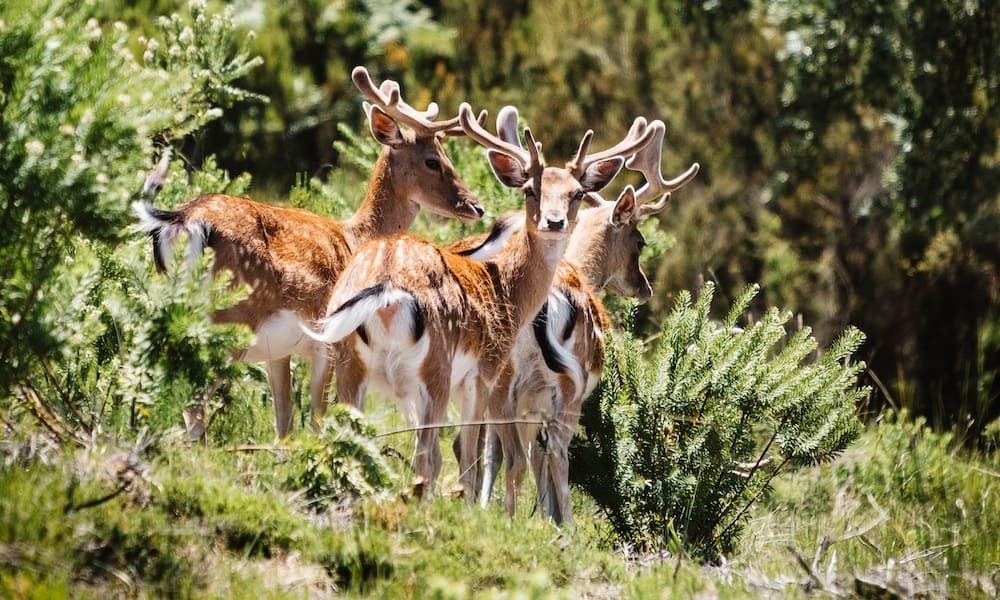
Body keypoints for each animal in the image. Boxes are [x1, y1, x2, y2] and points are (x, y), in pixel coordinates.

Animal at [134, 68, 488, 438]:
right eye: (433, 161)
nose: (476, 206)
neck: (356, 237)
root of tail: (180, 221)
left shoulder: (278, 351)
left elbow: (285, 423)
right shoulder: (330, 339)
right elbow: (318, 418)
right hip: (229, 317)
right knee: (194, 405)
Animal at [296, 102, 660, 496]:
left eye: (577, 193)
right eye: (530, 190)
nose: (554, 221)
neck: (507, 293)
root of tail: (386, 289)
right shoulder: (485, 374)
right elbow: (473, 455)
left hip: (348, 360)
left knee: (344, 437)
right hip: (439, 370)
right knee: (442, 456)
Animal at [464, 120, 700, 520]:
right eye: (640, 241)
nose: (644, 287)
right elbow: (542, 457)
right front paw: (549, 517)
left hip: (500, 378)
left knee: (497, 449)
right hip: (565, 388)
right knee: (556, 453)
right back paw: (566, 524)